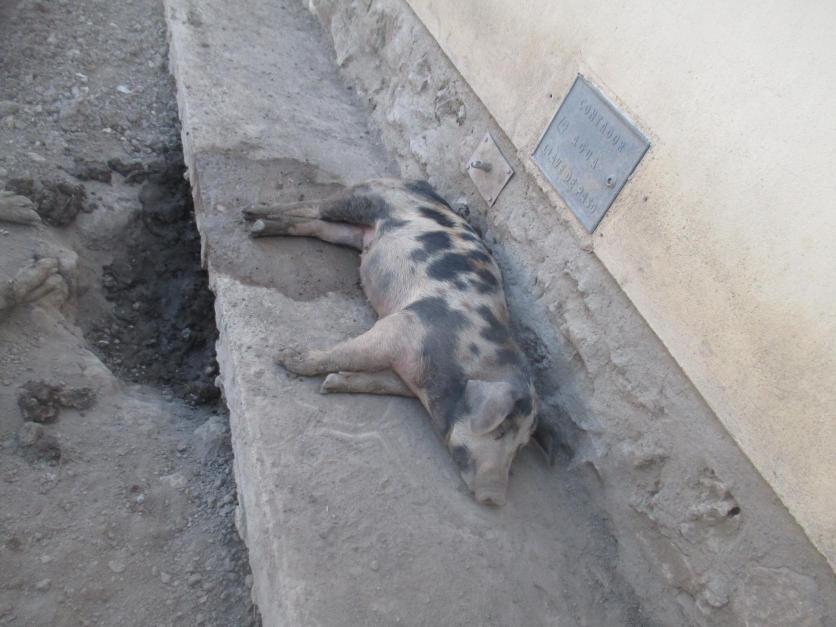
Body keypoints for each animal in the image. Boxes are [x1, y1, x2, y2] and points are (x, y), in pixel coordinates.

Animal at [243, 179, 547, 506]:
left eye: (519, 447)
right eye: (500, 430)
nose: (494, 498)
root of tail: (417, 183)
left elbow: (380, 382)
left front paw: (332, 383)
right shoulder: (402, 326)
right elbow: (349, 352)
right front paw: (287, 358)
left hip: (357, 233)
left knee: (319, 227)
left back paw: (258, 227)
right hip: (364, 198)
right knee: (315, 206)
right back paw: (251, 214)